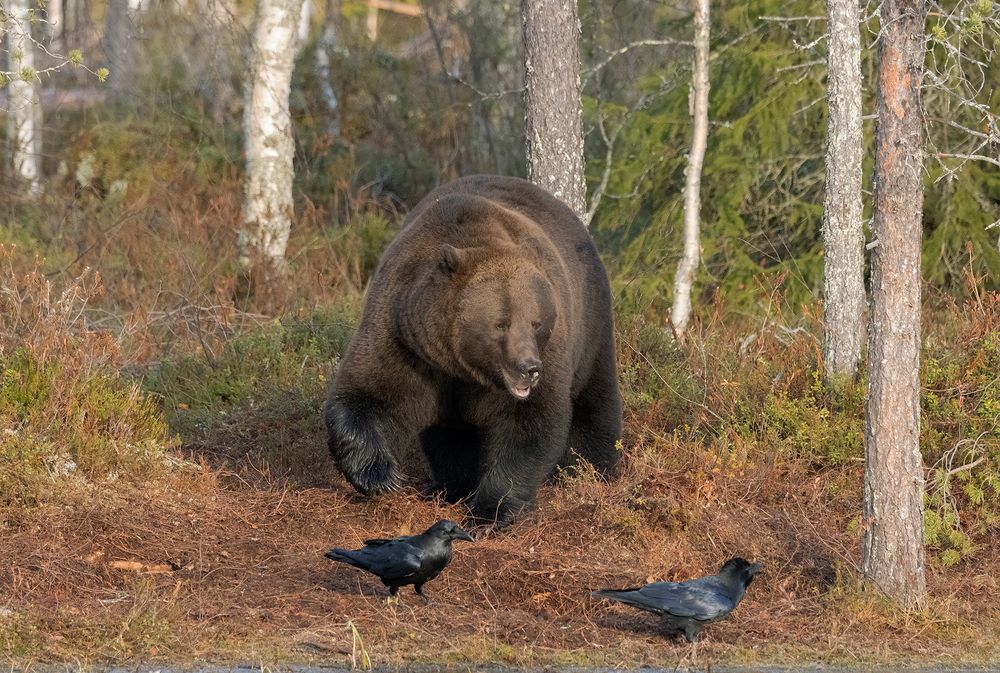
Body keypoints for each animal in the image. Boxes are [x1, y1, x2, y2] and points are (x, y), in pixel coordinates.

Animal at [324, 174, 623, 526]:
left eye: (536, 322)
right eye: (501, 323)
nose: (530, 368)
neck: (459, 363)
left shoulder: (550, 351)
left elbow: (528, 425)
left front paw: (490, 512)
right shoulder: (404, 336)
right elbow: (369, 394)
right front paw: (380, 476)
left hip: (590, 319)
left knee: (595, 399)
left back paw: (592, 470)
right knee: (450, 436)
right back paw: (448, 485)